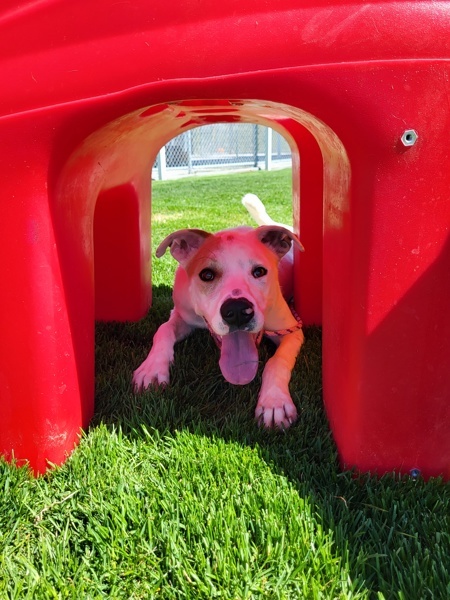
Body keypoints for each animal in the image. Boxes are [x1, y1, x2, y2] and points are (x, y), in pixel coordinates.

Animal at [132, 193, 304, 426]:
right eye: (206, 275)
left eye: (259, 271)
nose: (238, 310)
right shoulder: (182, 315)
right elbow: (163, 330)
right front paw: (152, 369)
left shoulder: (292, 330)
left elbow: (277, 361)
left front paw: (274, 401)